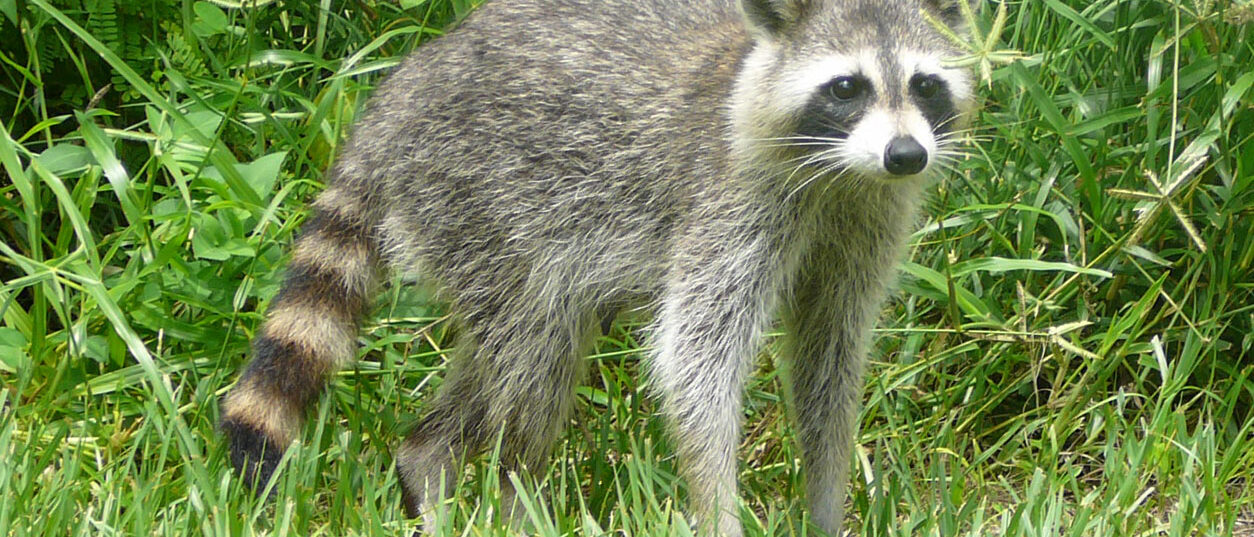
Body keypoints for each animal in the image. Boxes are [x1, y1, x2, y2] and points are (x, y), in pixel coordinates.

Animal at [219, 0, 977, 535]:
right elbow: (695, 362)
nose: (906, 154)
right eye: (846, 87)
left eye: (924, 85)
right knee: (535, 358)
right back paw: (513, 492)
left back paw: (427, 461)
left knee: (514, 356)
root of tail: (400, 94)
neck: (841, 173)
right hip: (481, 204)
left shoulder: (867, 221)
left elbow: (829, 361)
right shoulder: (727, 202)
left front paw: (826, 506)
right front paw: (718, 507)